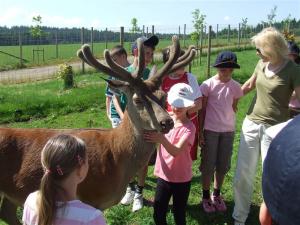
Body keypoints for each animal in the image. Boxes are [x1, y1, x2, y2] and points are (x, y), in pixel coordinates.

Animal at [0, 36, 197, 224]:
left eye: (163, 96)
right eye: (137, 99)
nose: (167, 122)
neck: (115, 155)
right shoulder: (90, 195)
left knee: (6, 212)